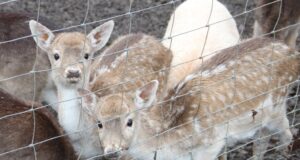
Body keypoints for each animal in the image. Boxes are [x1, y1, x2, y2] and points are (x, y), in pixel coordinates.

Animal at [84, 38, 298, 159]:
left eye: (129, 121)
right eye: (99, 123)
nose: (112, 151)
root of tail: (292, 52)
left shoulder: (211, 145)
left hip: (278, 103)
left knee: (286, 133)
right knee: (263, 138)